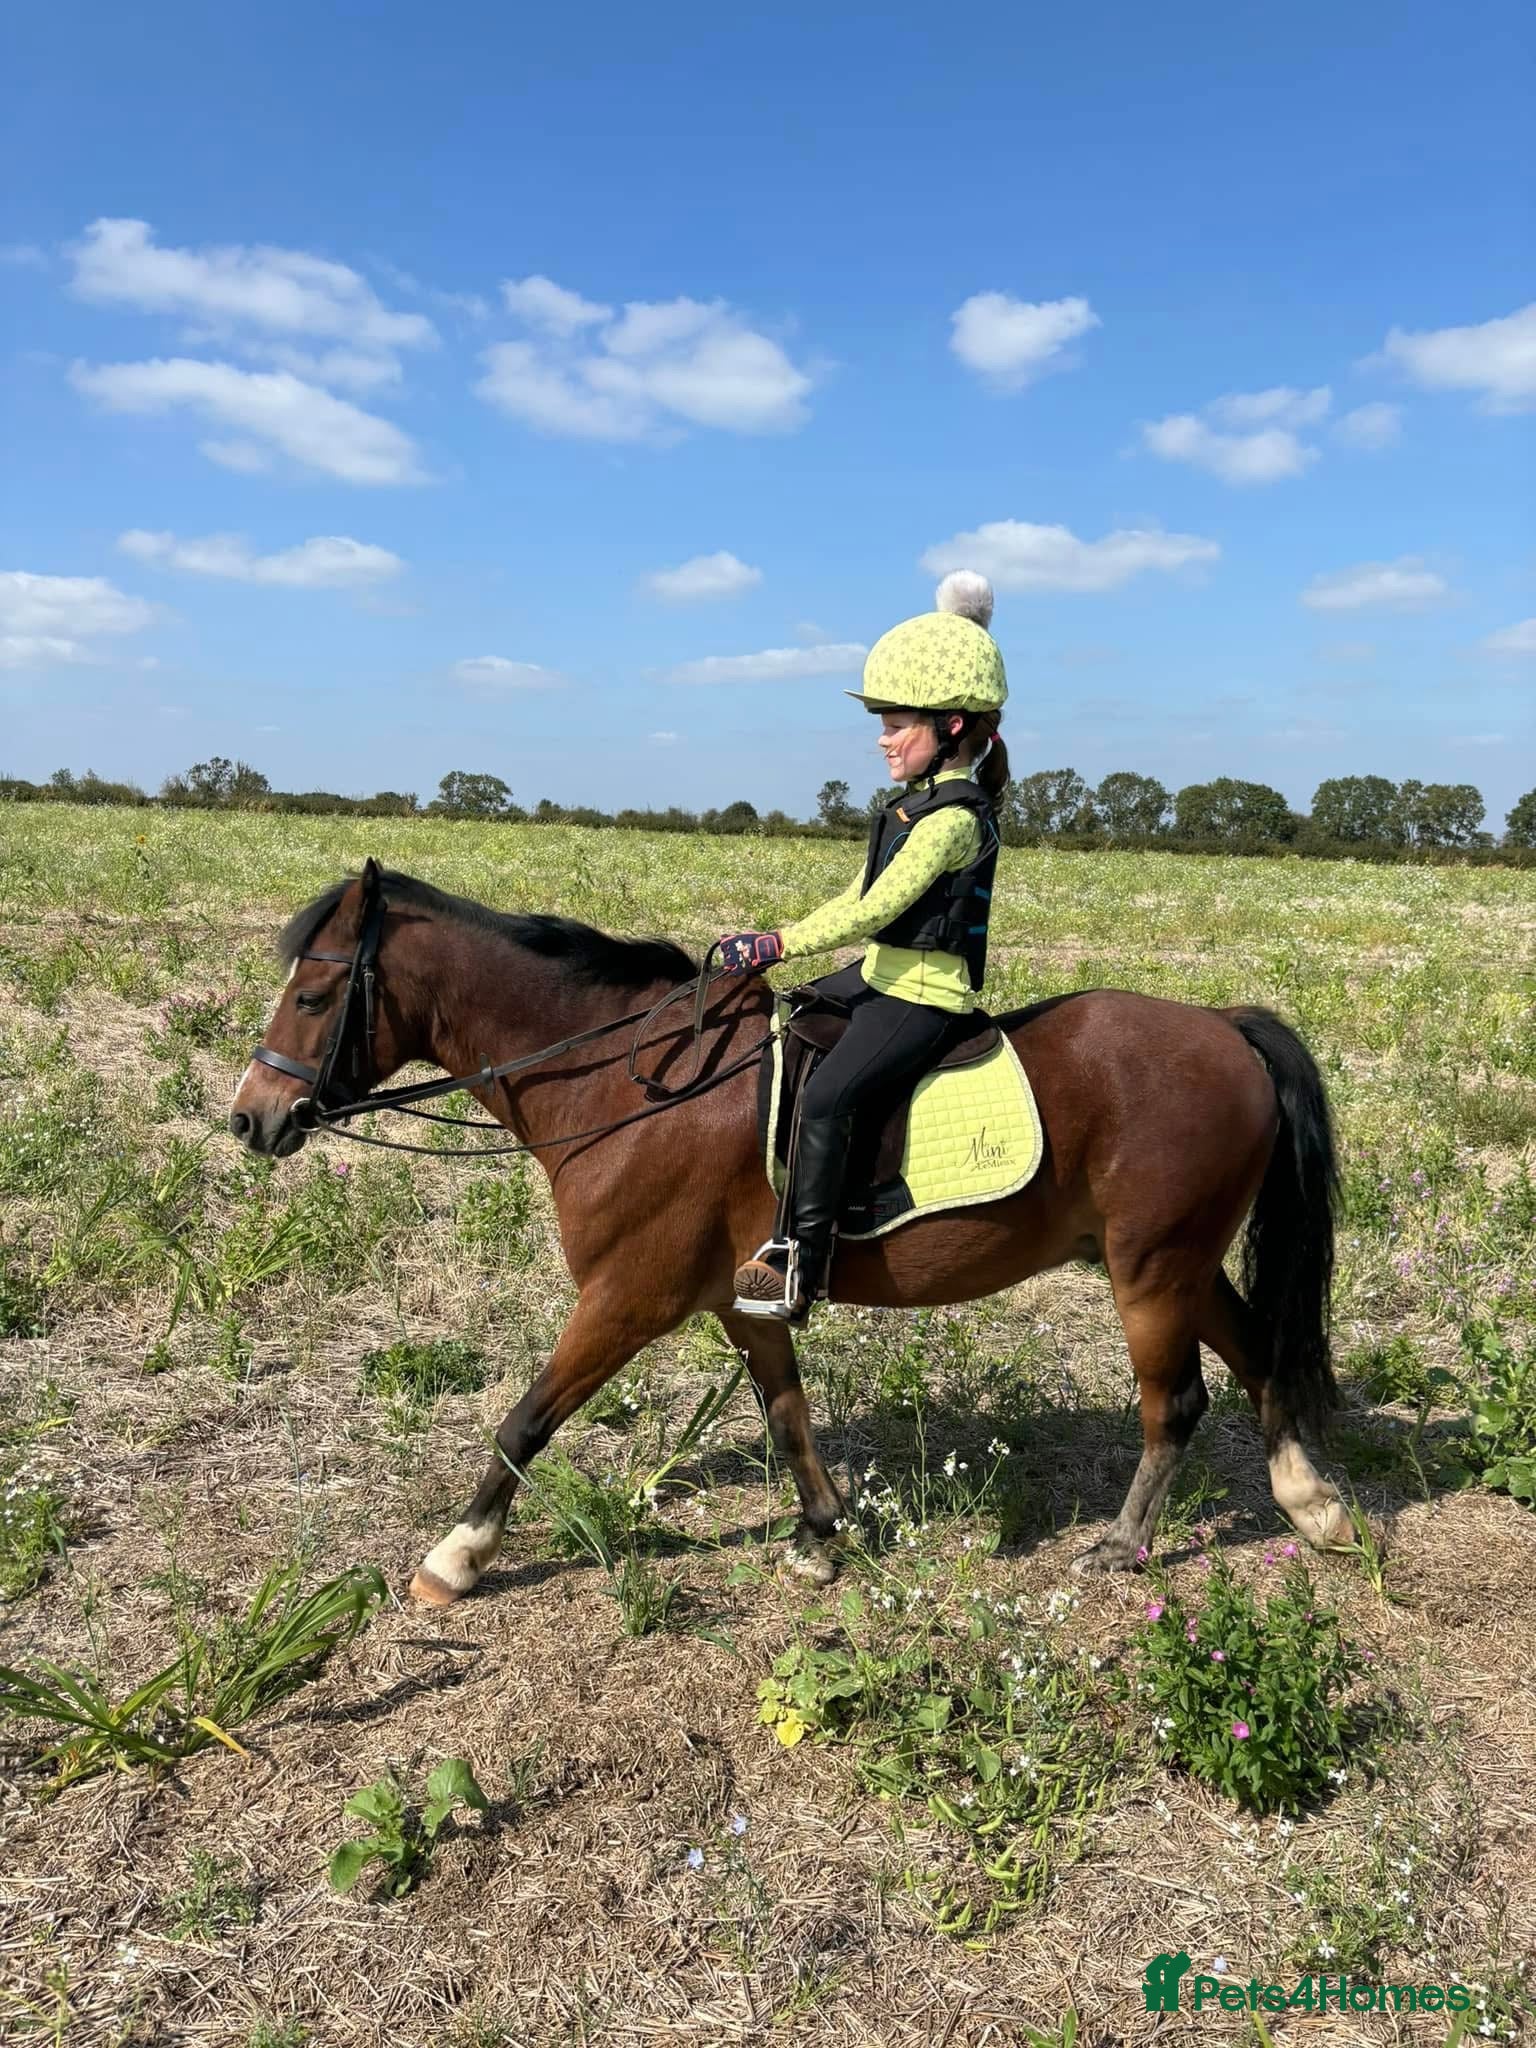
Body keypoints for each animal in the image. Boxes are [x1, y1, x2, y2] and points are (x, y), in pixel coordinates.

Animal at [228, 860, 1354, 1606]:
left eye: (314, 994)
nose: (250, 1118)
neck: (626, 1083)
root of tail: (1226, 1027)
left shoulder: (627, 1297)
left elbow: (525, 1419)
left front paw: (456, 1558)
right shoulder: (741, 1300)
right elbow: (788, 1417)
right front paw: (821, 1533)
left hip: (1150, 1270)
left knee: (1178, 1402)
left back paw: (1122, 1542)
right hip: (1184, 1263)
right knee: (1259, 1356)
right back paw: (1312, 1503)